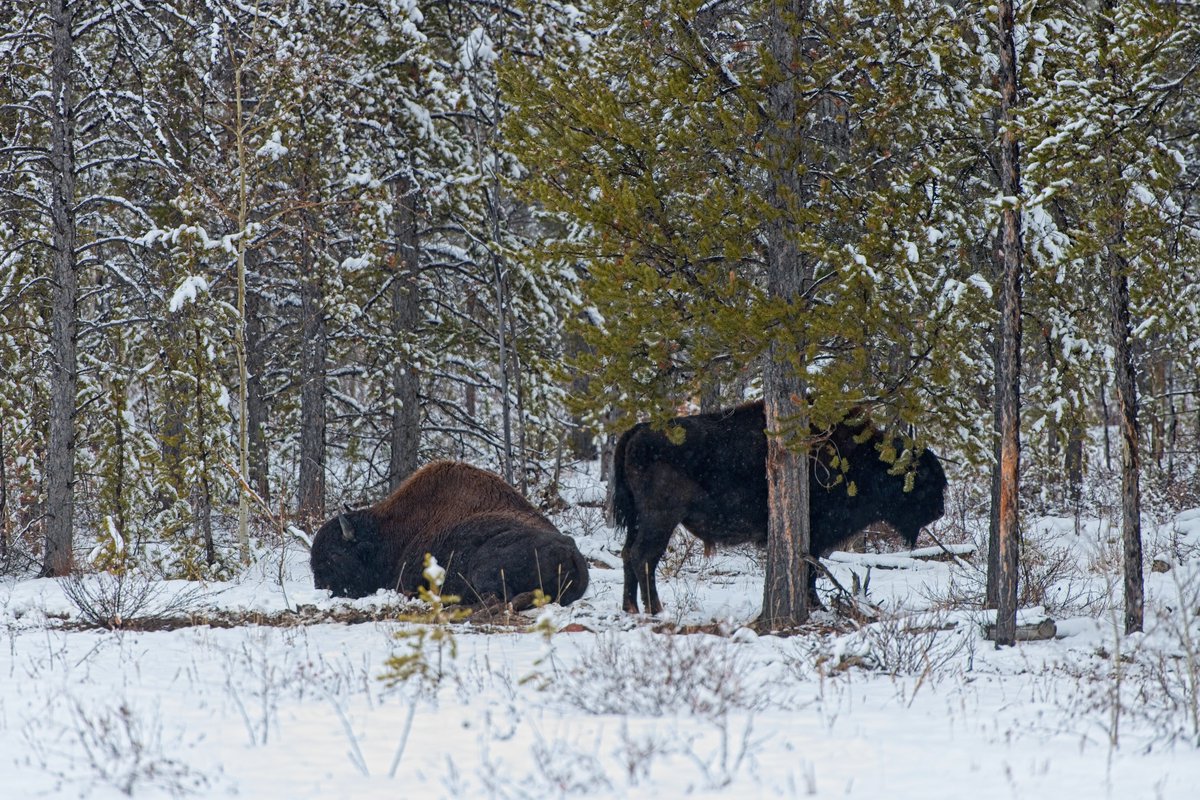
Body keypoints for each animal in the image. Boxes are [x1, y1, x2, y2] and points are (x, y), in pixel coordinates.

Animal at [611, 400, 947, 614]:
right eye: (923, 478)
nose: (939, 511)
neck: (865, 460)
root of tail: (638, 431)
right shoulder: (815, 536)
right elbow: (811, 571)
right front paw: (817, 606)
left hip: (639, 519)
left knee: (628, 554)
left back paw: (631, 608)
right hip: (660, 518)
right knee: (644, 556)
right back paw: (656, 610)